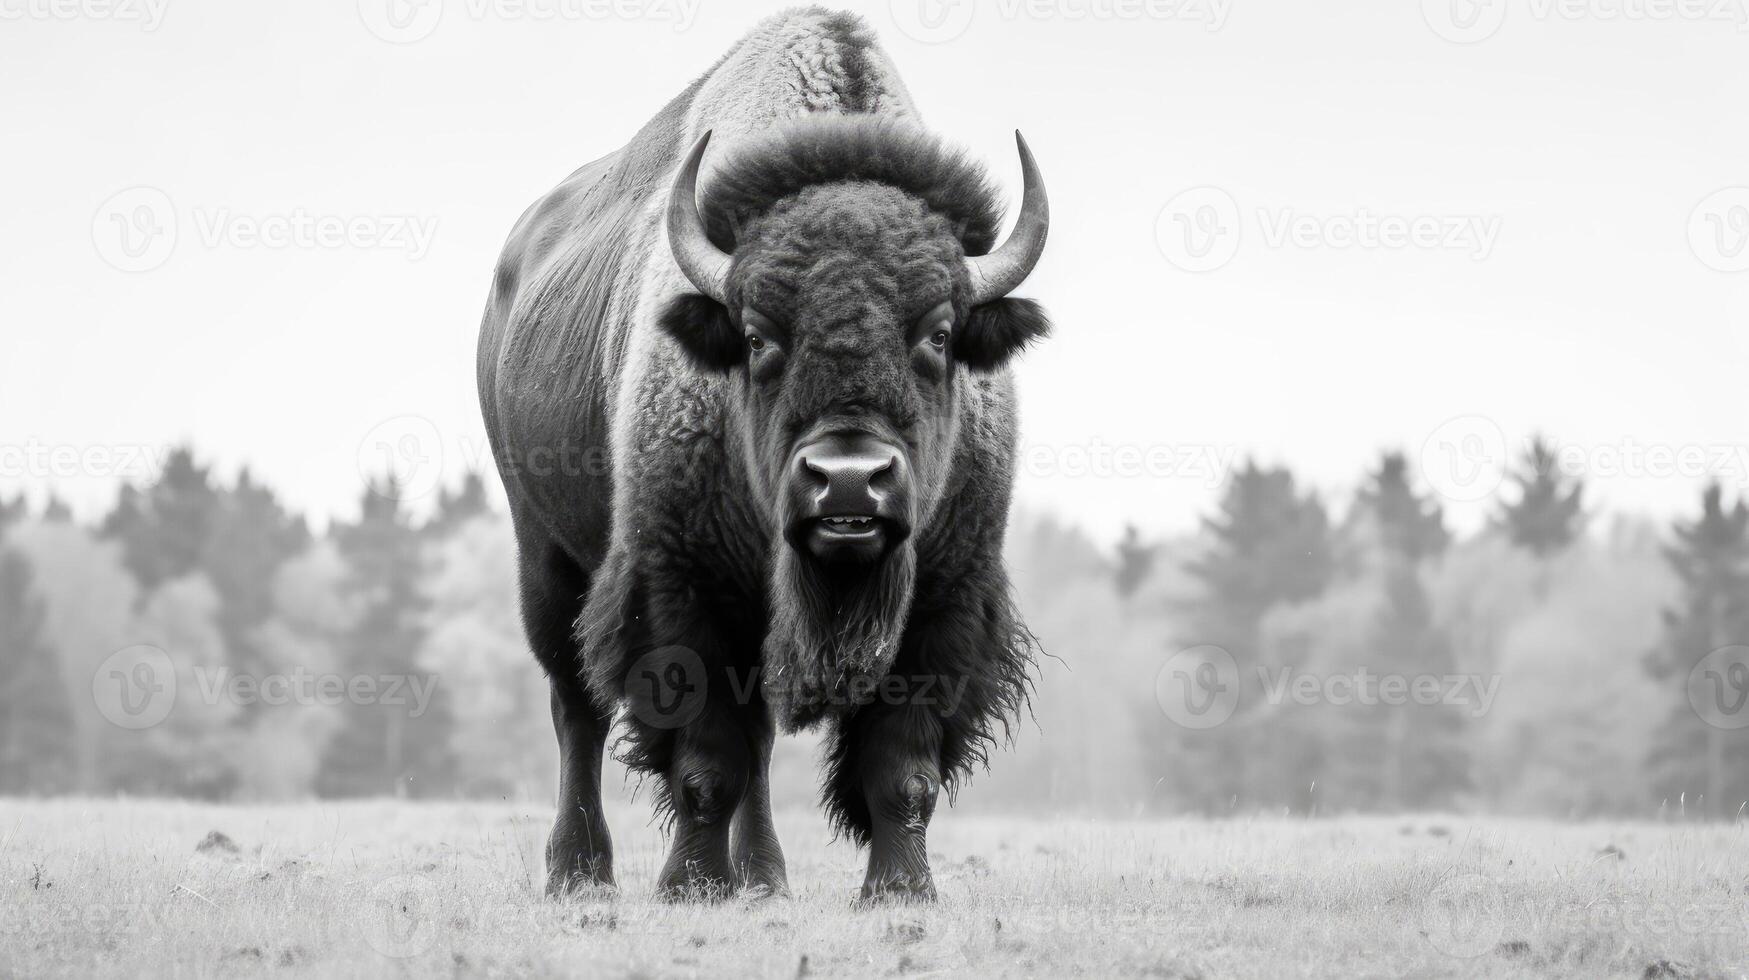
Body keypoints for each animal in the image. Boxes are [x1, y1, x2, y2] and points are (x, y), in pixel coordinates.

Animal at [475, 7, 1049, 903]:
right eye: (755, 337)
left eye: (939, 334)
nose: (847, 483)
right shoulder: (683, 592)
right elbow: (705, 761)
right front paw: (690, 886)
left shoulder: (945, 601)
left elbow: (900, 766)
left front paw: (899, 890)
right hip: (544, 557)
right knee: (577, 708)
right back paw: (579, 872)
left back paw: (764, 874)